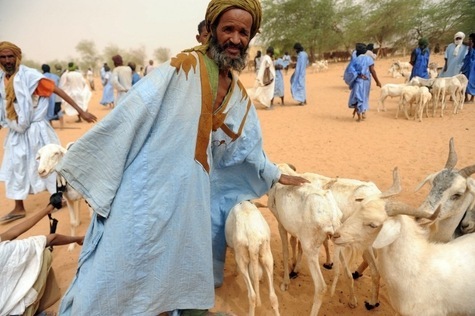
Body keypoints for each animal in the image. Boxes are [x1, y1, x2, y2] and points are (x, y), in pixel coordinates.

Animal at [268, 167, 342, 314]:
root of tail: (331, 216)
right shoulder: (297, 230)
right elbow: (295, 243)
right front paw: (294, 268)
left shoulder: (281, 224)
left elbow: (285, 251)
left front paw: (285, 283)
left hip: (311, 250)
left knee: (321, 287)